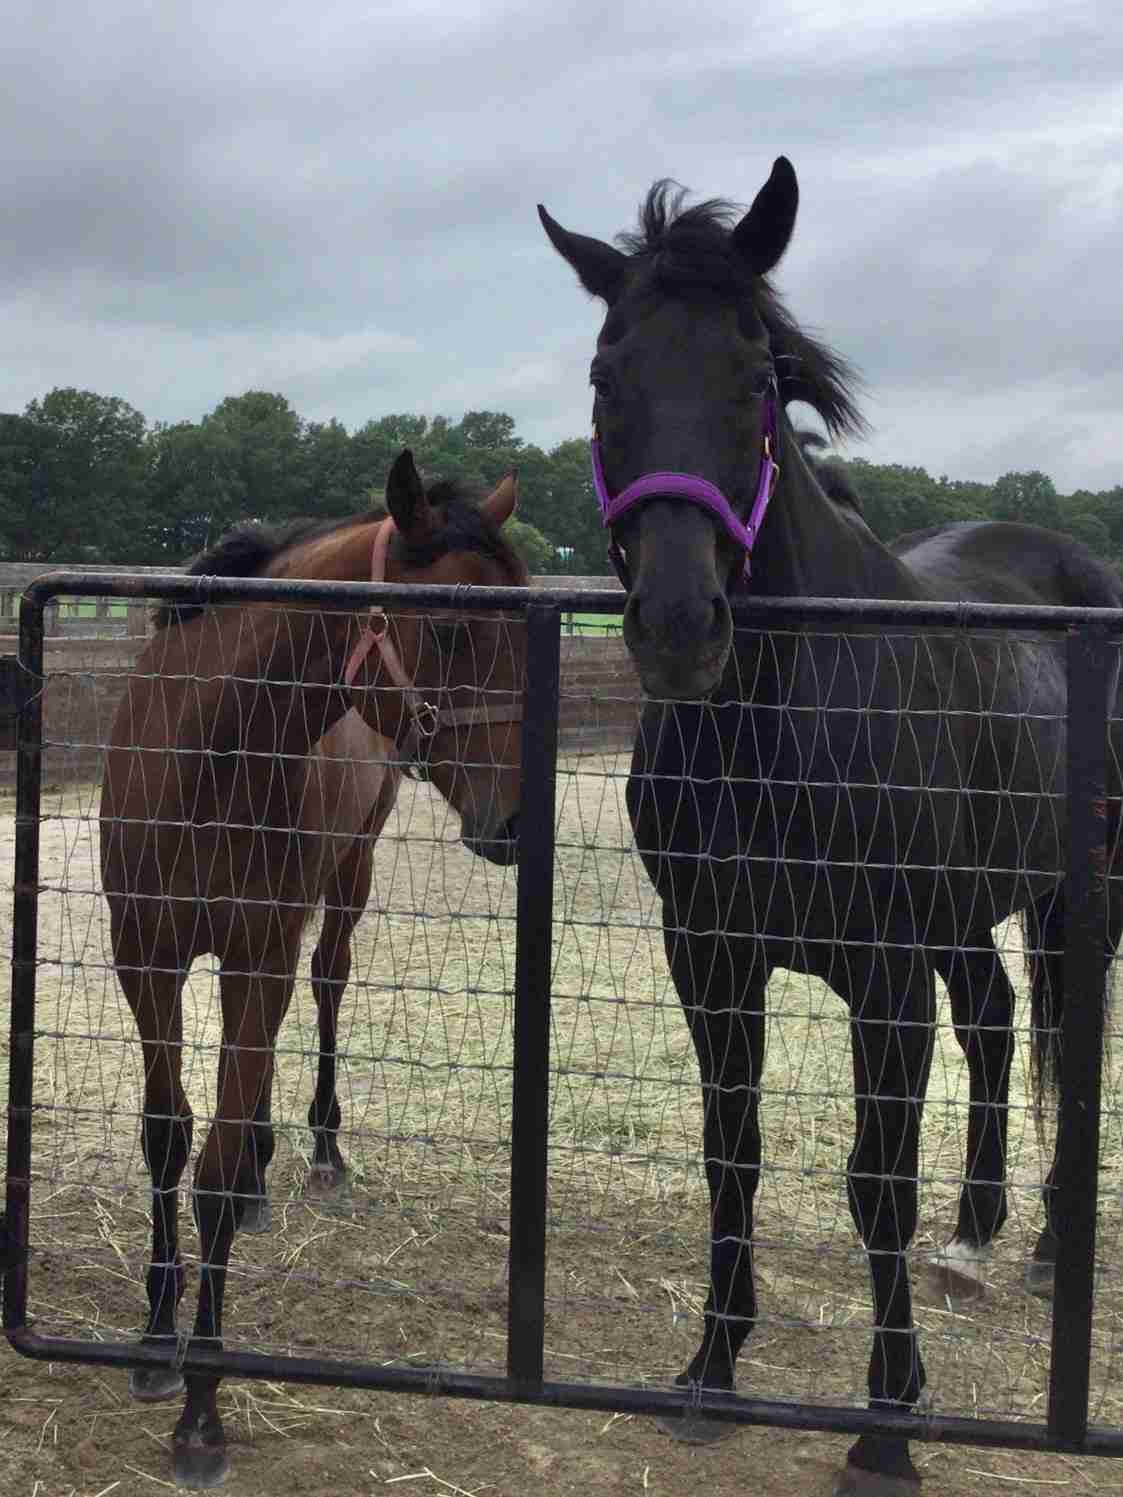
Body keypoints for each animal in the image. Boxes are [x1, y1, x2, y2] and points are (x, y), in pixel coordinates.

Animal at [99, 450, 527, 1488]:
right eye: (449, 625)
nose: (510, 821)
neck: (208, 749)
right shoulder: (147, 957)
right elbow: (168, 1136)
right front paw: (155, 1335)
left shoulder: (258, 955)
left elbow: (211, 1167)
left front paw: (203, 1413)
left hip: (345, 878)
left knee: (328, 986)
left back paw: (321, 1151)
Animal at [539, 162, 1121, 1494]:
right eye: (604, 371)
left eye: (757, 377)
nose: (679, 625)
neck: (775, 720)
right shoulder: (711, 958)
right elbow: (733, 1153)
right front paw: (710, 1371)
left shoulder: (882, 977)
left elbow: (874, 1185)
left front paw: (887, 1423)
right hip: (964, 918)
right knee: (998, 1018)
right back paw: (978, 1232)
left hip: (1079, 897)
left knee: (1069, 1035)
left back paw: (1047, 1251)